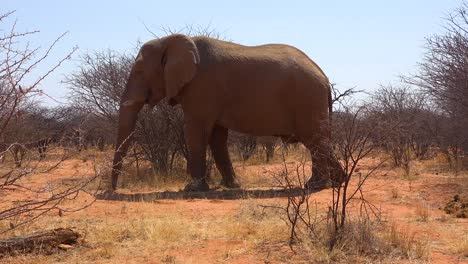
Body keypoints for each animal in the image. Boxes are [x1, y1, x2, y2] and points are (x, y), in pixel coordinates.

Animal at [112, 34, 340, 191]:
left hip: (307, 99)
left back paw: (316, 186)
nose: (113, 190)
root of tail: (324, 76)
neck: (170, 41)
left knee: (315, 140)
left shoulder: (202, 87)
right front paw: (232, 187)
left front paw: (192, 190)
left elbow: (196, 132)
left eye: (139, 71)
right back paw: (337, 182)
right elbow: (217, 137)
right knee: (319, 141)